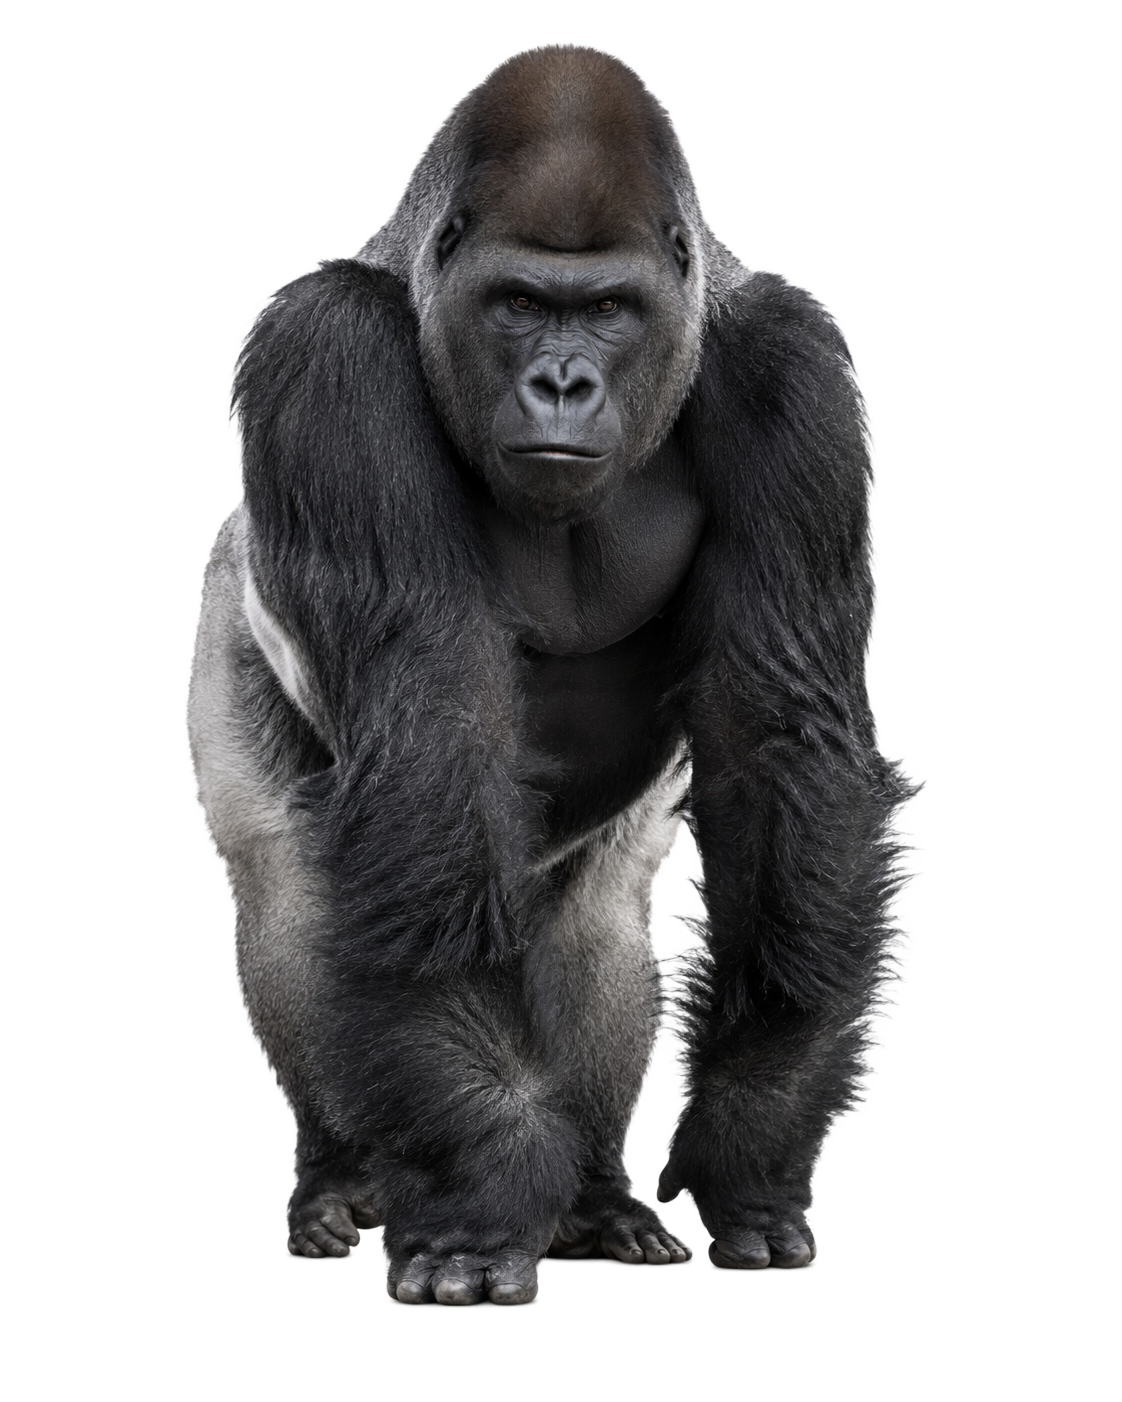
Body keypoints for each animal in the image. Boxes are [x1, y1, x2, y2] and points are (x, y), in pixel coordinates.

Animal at [189, 44, 914, 1305]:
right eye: (521, 303)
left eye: (610, 309)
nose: (565, 383)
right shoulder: (322, 358)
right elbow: (427, 731)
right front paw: (482, 1183)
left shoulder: (795, 374)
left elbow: (783, 742)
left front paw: (755, 1132)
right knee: (287, 886)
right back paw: (341, 1173)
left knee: (596, 921)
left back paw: (593, 1196)